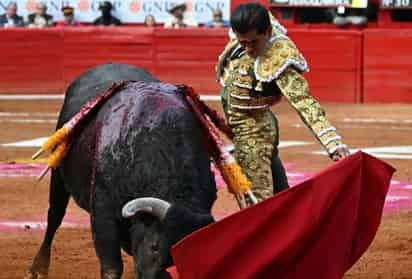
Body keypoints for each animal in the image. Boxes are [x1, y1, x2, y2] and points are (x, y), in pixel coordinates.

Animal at [26, 64, 216, 279]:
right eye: (155, 246)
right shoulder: (103, 212)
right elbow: (111, 267)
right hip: (58, 172)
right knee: (54, 215)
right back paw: (38, 269)